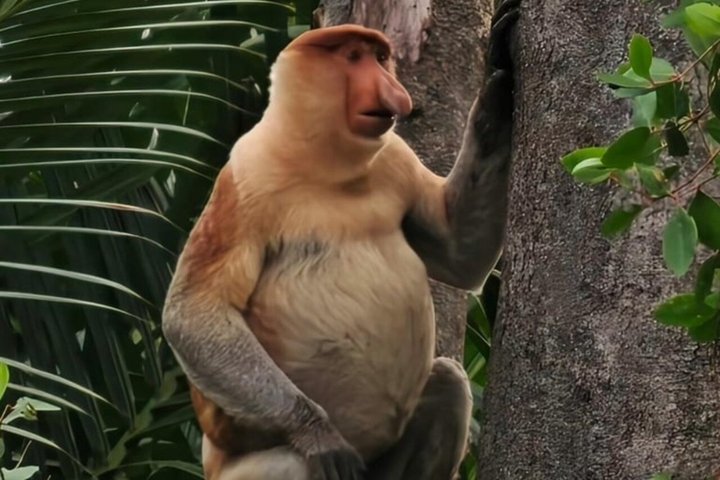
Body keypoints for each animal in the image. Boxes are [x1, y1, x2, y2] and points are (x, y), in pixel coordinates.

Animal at [162, 2, 517, 479]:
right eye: (353, 57)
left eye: (380, 58)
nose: (395, 94)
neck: (329, 166)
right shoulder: (244, 177)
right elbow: (194, 313)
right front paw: (318, 434)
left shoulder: (395, 158)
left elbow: (460, 256)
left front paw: (501, 74)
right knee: (295, 463)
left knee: (448, 382)